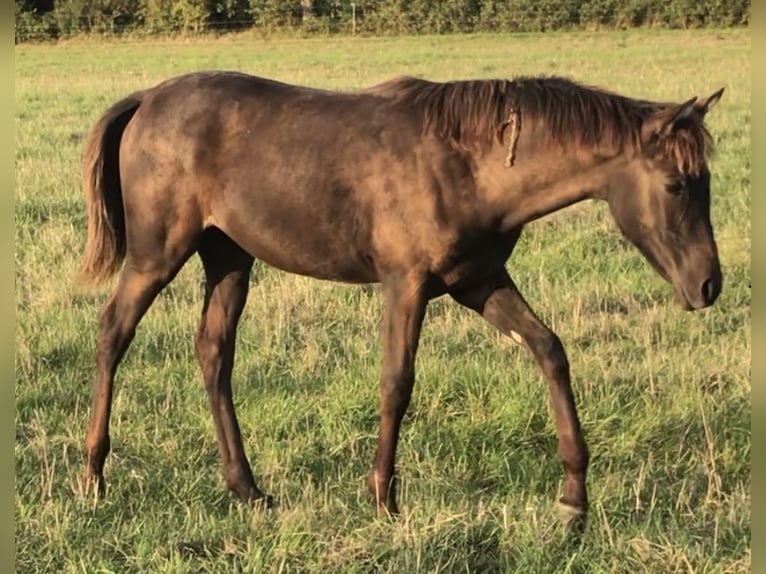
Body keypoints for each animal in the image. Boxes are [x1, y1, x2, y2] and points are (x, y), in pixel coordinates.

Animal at [78, 71, 724, 528]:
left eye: (707, 182)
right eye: (675, 184)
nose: (708, 285)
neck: (469, 165)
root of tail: (147, 99)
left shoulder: (478, 283)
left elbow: (549, 350)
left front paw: (573, 501)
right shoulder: (406, 284)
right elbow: (397, 382)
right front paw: (384, 500)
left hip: (229, 258)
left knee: (214, 353)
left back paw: (247, 489)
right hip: (158, 255)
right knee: (112, 333)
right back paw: (93, 477)